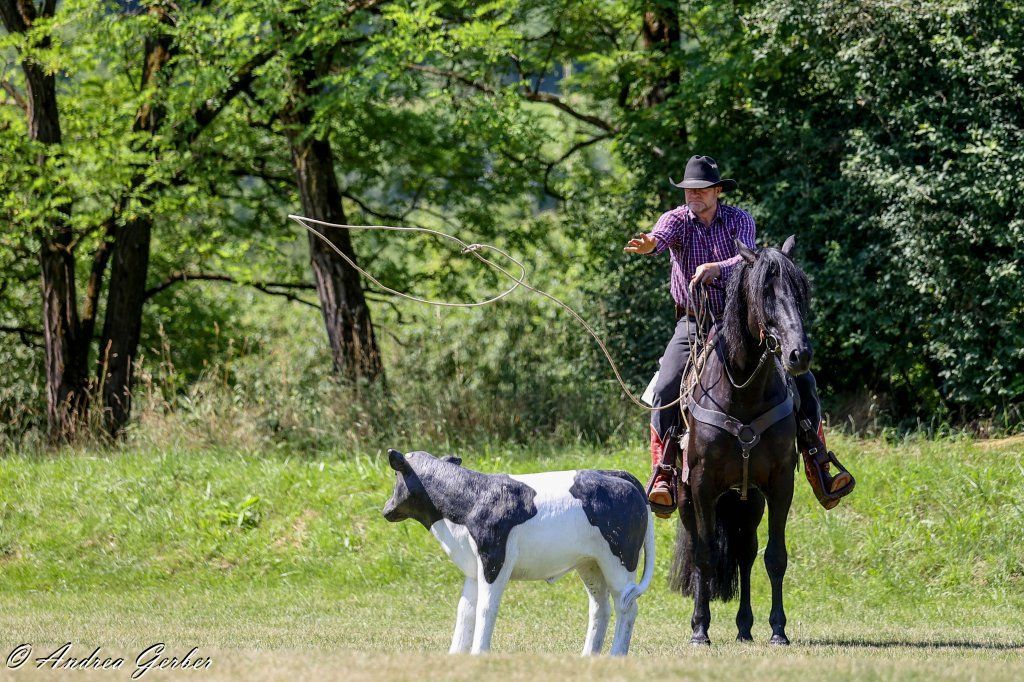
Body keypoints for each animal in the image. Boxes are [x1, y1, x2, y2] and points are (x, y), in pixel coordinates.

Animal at [669, 235, 812, 646]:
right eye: (765, 292)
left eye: (801, 290)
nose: (799, 354)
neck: (742, 394)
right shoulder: (701, 486)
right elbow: (704, 556)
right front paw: (700, 629)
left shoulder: (780, 484)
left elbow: (775, 556)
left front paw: (778, 629)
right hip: (686, 496)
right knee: (703, 550)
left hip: (747, 500)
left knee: (746, 553)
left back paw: (745, 627)